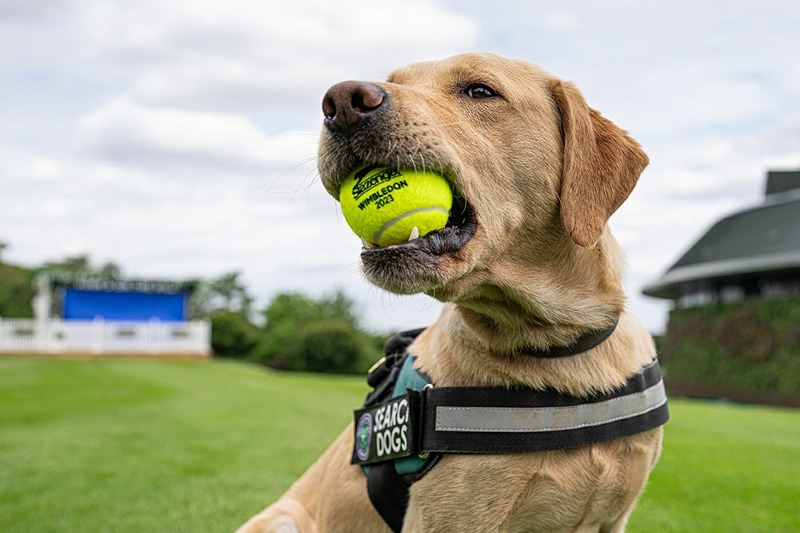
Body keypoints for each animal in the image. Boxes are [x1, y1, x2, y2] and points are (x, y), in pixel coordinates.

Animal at [241, 53, 664, 532]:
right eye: (395, 80)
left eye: (479, 90)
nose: (341, 101)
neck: (556, 346)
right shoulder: (448, 519)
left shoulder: (615, 516)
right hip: (283, 519)